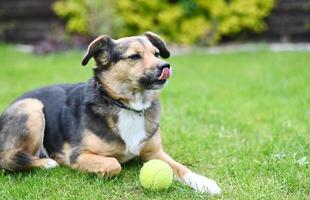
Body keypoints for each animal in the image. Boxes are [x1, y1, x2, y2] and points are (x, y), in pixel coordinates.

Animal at [0, 32, 223, 195]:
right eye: (134, 56)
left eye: (156, 54)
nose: (165, 66)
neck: (128, 107)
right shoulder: (79, 154)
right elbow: (114, 164)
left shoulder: (155, 153)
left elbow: (180, 167)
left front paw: (204, 182)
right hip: (32, 107)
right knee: (8, 158)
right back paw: (47, 162)